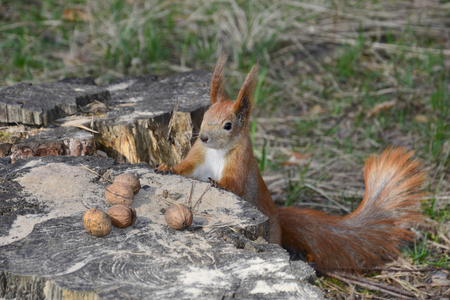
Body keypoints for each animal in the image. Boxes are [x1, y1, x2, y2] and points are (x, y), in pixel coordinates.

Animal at [156, 55, 428, 274]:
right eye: (205, 116)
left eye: (228, 125)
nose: (203, 137)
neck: (216, 152)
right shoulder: (198, 157)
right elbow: (185, 168)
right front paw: (167, 168)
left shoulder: (241, 164)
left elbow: (234, 183)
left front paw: (218, 184)